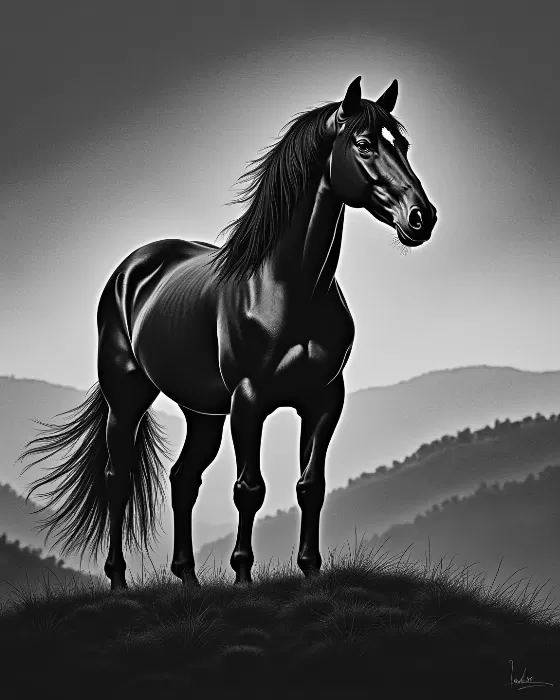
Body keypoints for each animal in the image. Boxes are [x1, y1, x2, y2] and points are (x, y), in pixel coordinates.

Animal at [20, 76, 437, 590]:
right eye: (363, 144)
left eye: (403, 145)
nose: (421, 217)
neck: (288, 288)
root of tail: (132, 268)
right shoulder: (249, 400)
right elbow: (248, 489)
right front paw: (242, 576)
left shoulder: (323, 400)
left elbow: (311, 486)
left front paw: (310, 571)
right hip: (128, 397)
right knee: (118, 478)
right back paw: (118, 580)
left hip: (203, 413)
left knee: (183, 479)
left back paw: (188, 578)